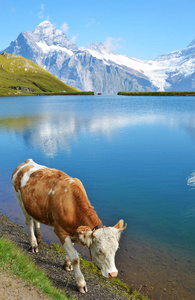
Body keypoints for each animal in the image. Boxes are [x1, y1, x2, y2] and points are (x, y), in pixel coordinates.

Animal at [11, 159, 126, 292]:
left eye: (116, 249)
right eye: (100, 250)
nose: (113, 274)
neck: (72, 207)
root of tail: (27, 162)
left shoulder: (74, 231)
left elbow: (70, 251)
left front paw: (67, 264)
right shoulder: (60, 231)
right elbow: (75, 257)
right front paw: (81, 283)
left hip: (34, 206)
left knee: (36, 220)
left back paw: (39, 238)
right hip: (20, 201)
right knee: (29, 222)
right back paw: (34, 244)